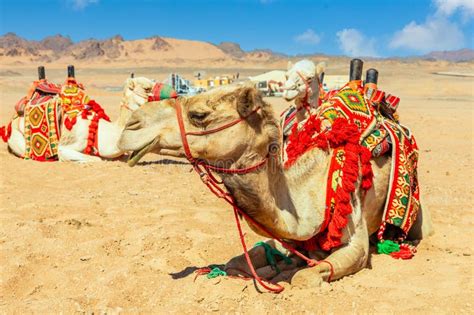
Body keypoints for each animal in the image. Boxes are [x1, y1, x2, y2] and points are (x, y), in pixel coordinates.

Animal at [117, 84, 434, 288]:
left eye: (198, 114)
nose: (130, 126)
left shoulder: (354, 236)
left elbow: (305, 278)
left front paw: (291, 273)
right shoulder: (285, 237)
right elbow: (240, 260)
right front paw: (271, 267)